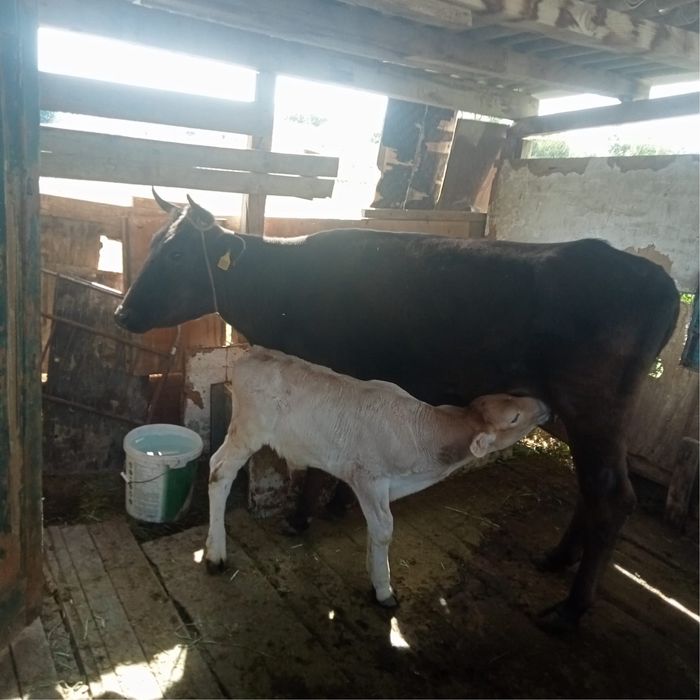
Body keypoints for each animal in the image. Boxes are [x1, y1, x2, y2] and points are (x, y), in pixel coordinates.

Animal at [115, 191, 680, 633]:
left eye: (177, 256)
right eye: (155, 245)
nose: (121, 313)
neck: (284, 286)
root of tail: (658, 280)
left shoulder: (332, 372)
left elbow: (321, 463)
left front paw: (303, 517)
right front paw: (338, 506)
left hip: (594, 408)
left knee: (614, 497)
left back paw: (571, 608)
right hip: (585, 416)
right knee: (593, 488)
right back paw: (556, 558)